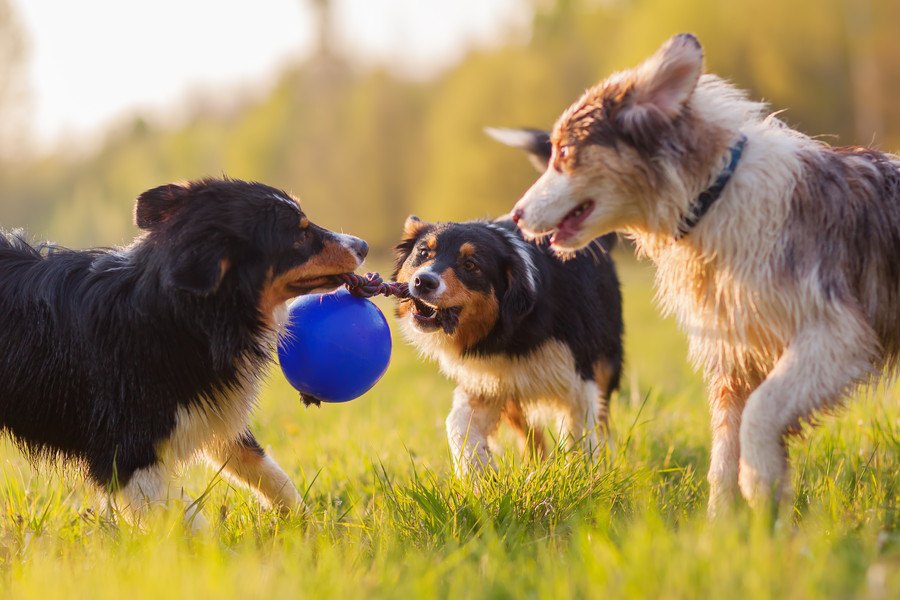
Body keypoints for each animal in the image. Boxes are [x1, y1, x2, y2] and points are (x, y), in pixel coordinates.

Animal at [0, 178, 368, 524]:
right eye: (299, 234)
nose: (363, 245)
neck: (183, 316)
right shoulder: (127, 450)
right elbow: (184, 519)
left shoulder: (207, 405)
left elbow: (268, 471)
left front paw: (312, 530)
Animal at [390, 213, 624, 476]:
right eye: (423, 252)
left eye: (470, 265)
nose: (424, 281)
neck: (511, 333)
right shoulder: (485, 379)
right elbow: (457, 424)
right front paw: (478, 473)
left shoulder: (579, 378)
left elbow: (578, 436)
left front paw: (580, 474)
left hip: (604, 364)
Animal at [502, 31, 900, 510]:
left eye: (564, 152)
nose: (516, 214)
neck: (713, 197)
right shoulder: (734, 354)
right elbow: (724, 451)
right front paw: (725, 523)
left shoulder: (836, 333)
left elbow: (760, 413)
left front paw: (761, 485)